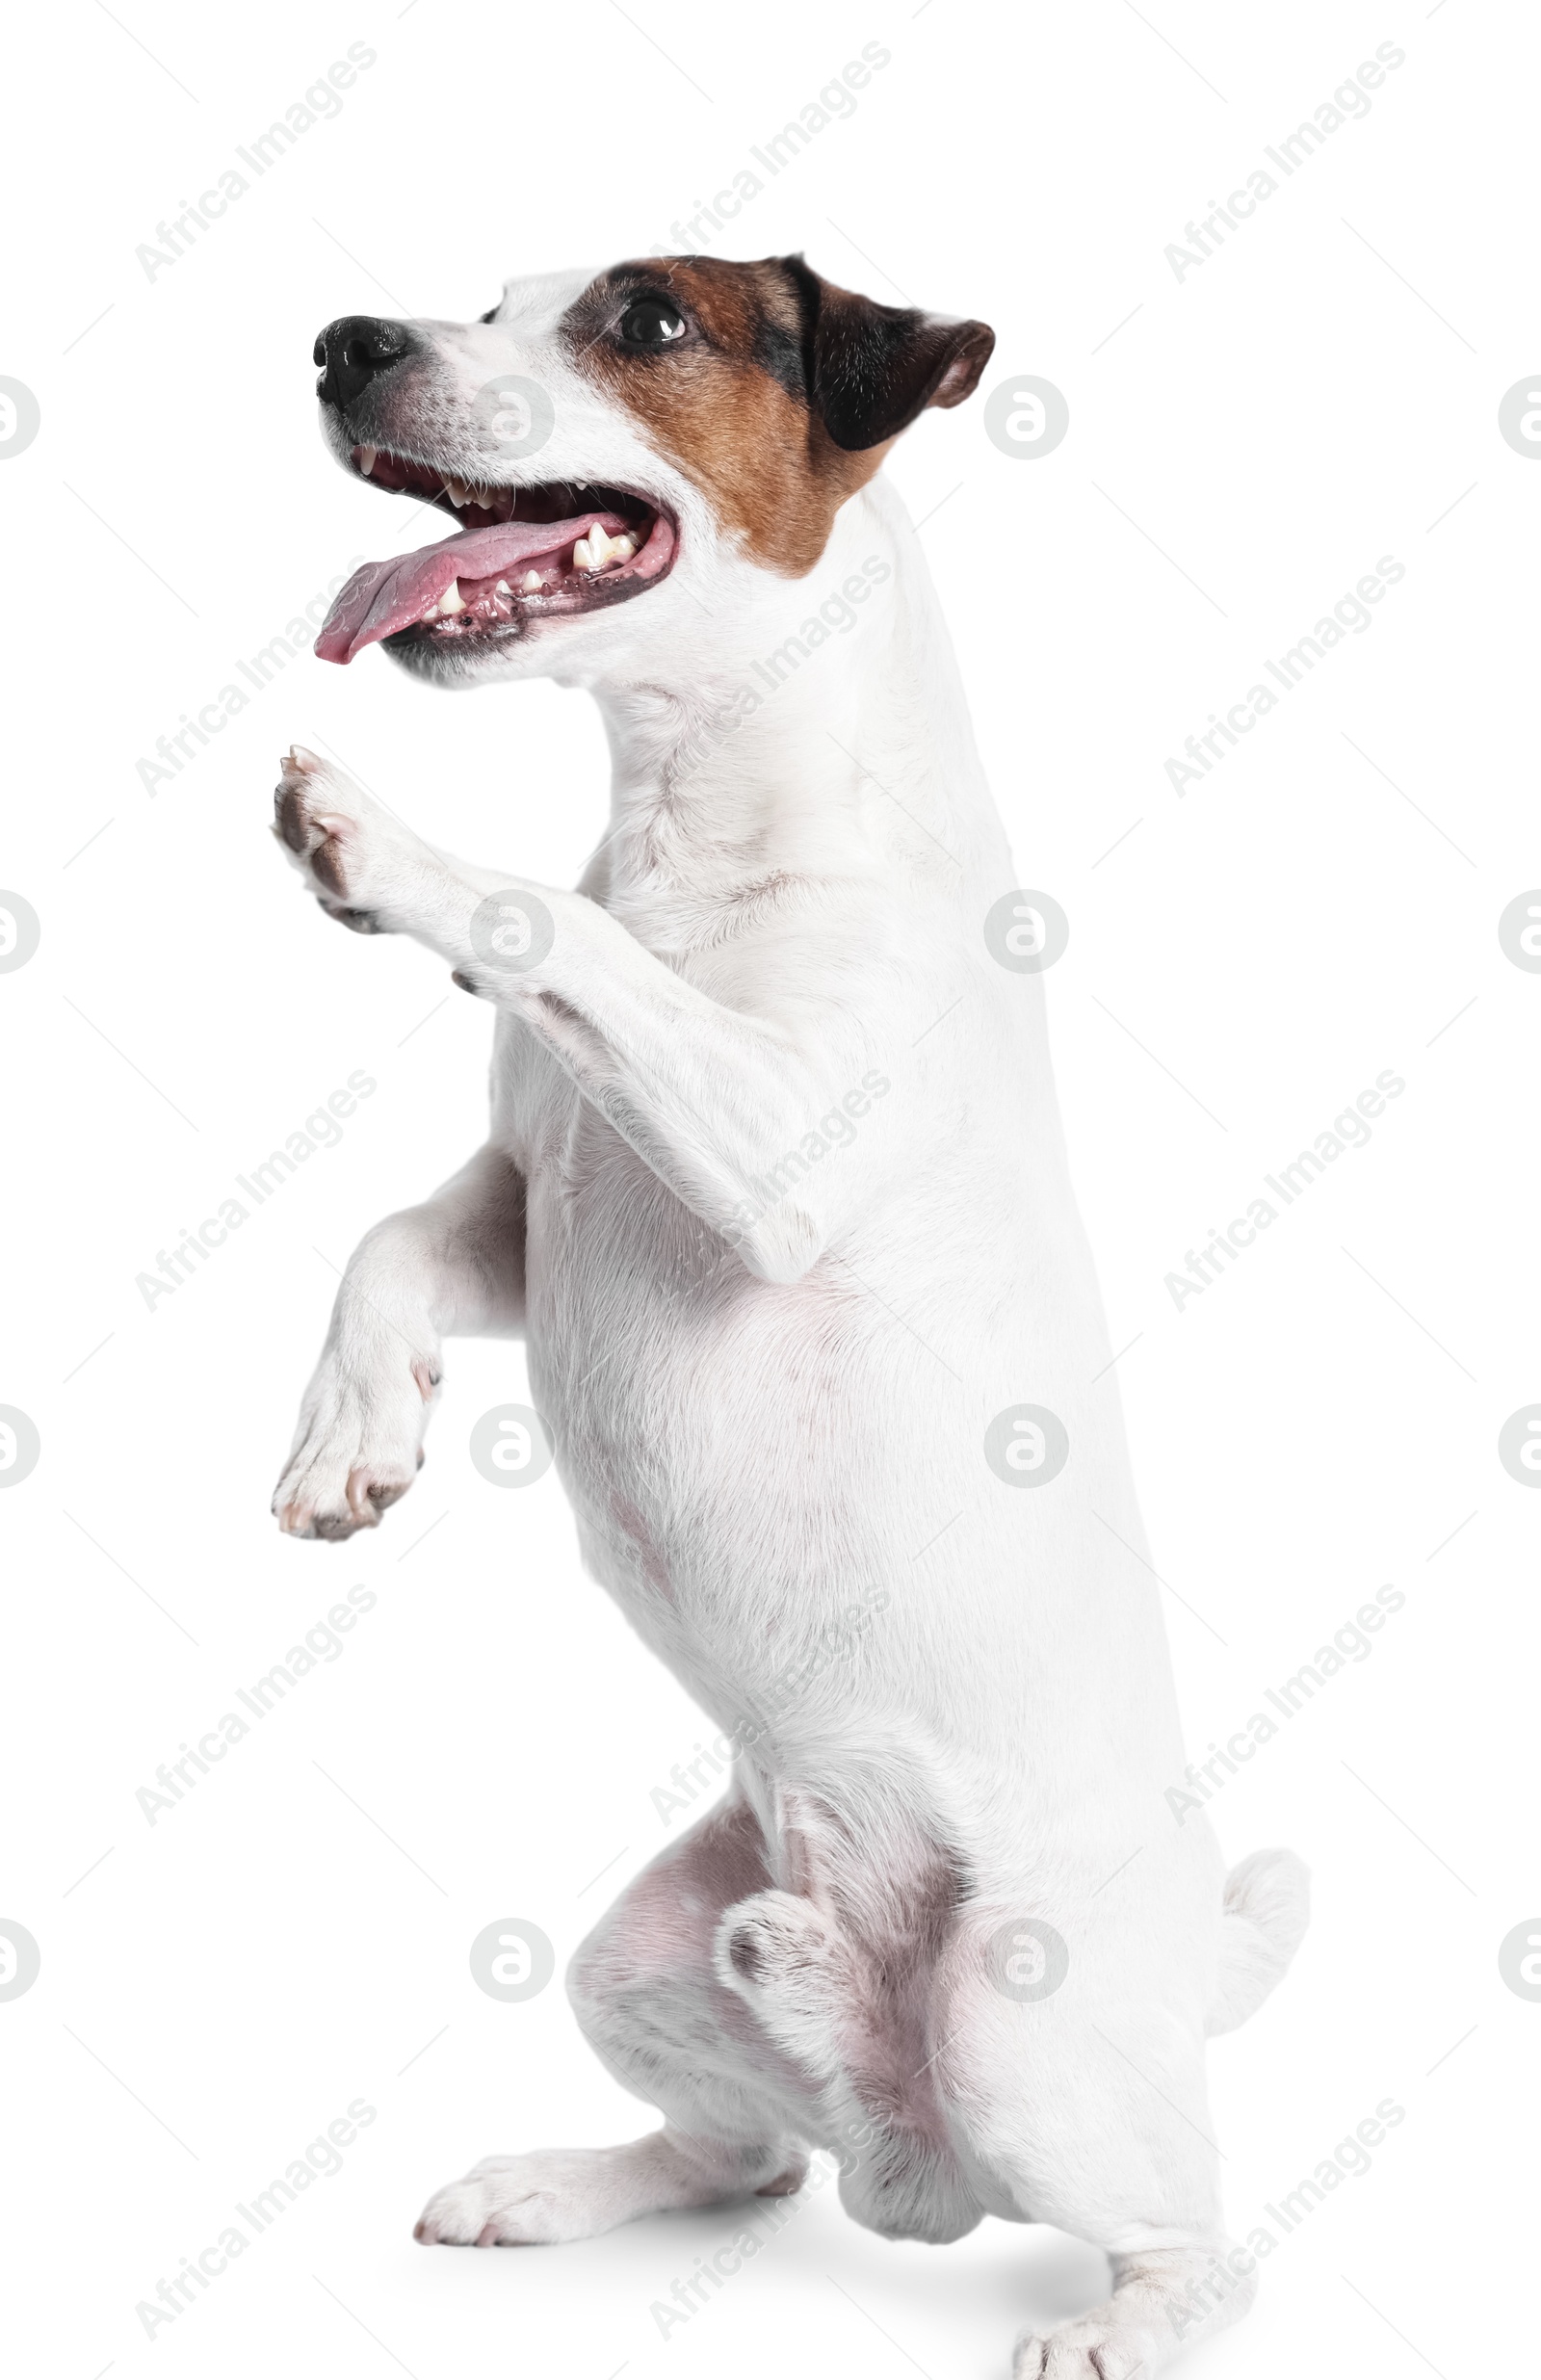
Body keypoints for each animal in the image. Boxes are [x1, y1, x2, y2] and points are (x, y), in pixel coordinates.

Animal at [271, 250, 1303, 2370]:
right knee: (745, 2157)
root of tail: (914, 2147)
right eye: (494, 297)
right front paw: (354, 1431)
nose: (343, 344)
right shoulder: (530, 1202)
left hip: (1016, 2018)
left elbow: (549, 930)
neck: (697, 812)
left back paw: (1122, 2314)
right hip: (639, 1953)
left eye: (648, 322)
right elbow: (387, 1239)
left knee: (1201, 2226)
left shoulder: (763, 1150)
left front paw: (389, 849)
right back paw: (564, 2179)